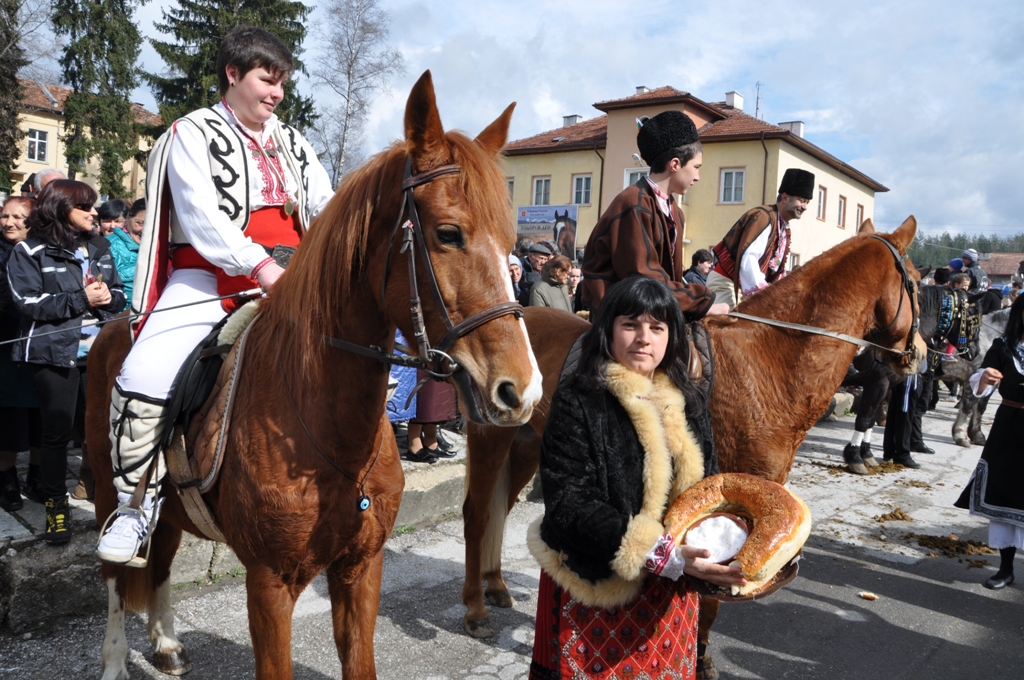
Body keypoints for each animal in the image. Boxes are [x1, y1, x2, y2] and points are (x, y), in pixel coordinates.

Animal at [88, 70, 544, 680]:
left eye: (512, 242)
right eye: (448, 233)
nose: (521, 390)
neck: (325, 424)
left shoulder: (361, 569)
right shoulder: (269, 584)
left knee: (160, 558)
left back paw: (165, 642)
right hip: (103, 489)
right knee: (118, 578)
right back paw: (118, 657)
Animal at [460, 216, 925, 675]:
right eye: (917, 284)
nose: (919, 353)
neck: (768, 362)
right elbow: (711, 599)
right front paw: (701, 658)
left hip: (524, 445)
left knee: (500, 510)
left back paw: (496, 585)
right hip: (491, 437)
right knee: (478, 514)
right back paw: (475, 609)